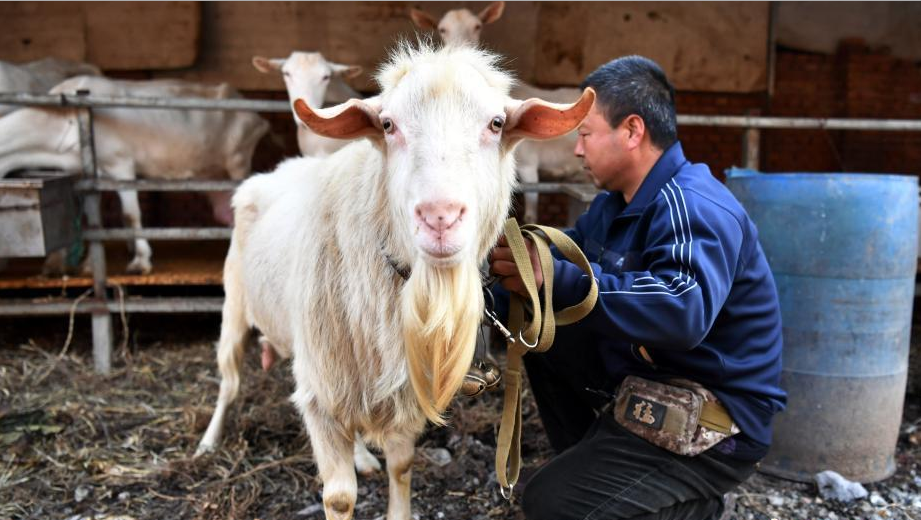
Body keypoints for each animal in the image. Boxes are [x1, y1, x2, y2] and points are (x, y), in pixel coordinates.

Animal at [0, 76, 270, 276]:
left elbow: (131, 215)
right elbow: (84, 216)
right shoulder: (85, 173)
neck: (64, 119)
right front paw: (76, 264)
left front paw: (140, 261)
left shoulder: (120, 165)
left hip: (238, 160)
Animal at [197, 42, 592, 516]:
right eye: (387, 124)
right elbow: (340, 497)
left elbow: (402, 466)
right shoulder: (320, 394)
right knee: (229, 381)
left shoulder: (399, 390)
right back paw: (208, 441)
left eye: (497, 123)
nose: (440, 216)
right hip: (236, 305)